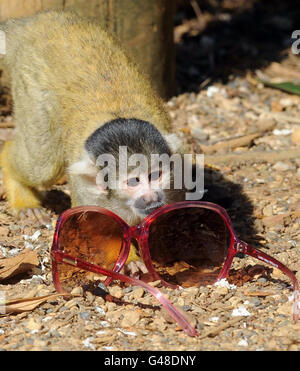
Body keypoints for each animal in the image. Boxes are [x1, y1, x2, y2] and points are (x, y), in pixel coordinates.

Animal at [0, 10, 185, 232]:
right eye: (134, 182)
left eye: (155, 175)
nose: (151, 197)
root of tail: (35, 22)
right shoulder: (87, 192)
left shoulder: (176, 179)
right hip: (32, 82)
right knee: (43, 164)